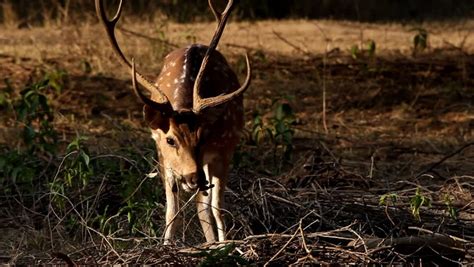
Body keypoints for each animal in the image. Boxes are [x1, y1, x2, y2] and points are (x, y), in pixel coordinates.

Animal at [96, 0, 252, 244]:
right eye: (170, 140)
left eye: (204, 137)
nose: (193, 177)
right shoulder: (163, 156)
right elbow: (172, 212)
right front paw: (166, 245)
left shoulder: (225, 150)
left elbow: (218, 208)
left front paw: (224, 245)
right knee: (199, 205)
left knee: (206, 205)